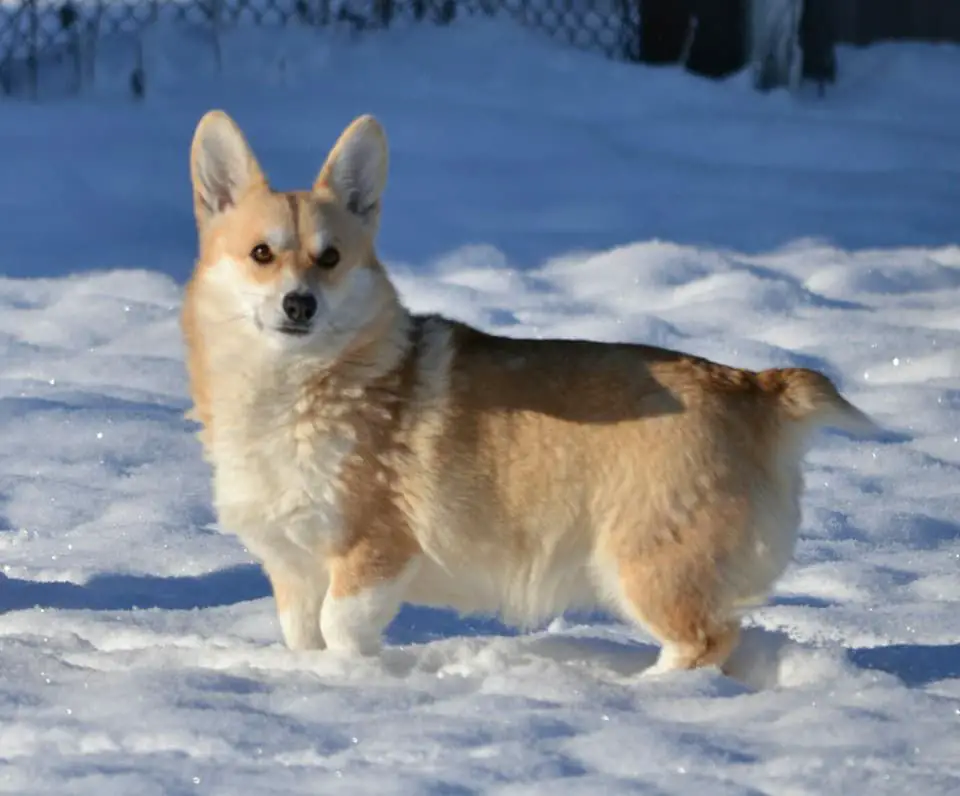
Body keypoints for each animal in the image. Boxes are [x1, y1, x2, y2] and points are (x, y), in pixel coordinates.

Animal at [182, 109, 876, 676]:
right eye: (261, 254)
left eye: (329, 259)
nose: (299, 305)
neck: (295, 387)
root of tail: (757, 386)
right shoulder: (294, 567)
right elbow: (305, 634)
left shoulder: (372, 551)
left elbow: (342, 626)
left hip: (646, 563)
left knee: (703, 642)